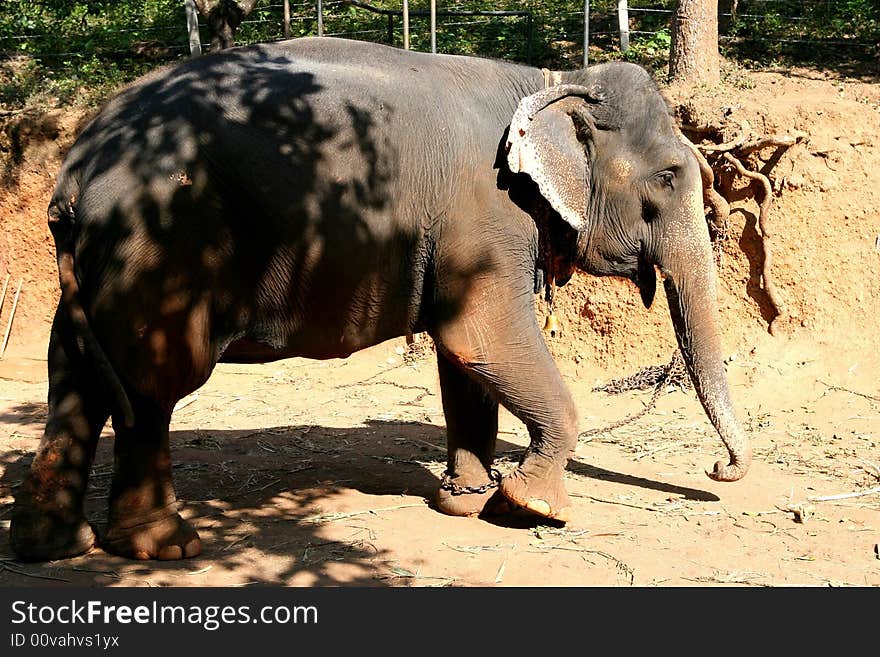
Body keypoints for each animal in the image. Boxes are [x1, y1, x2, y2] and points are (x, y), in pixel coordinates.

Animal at [8, 34, 748, 560]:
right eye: (669, 177)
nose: (721, 470)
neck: (548, 83)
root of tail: (75, 171)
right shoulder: (490, 210)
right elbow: (483, 338)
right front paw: (530, 507)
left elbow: (465, 360)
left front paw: (466, 500)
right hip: (162, 244)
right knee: (152, 386)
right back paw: (164, 546)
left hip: (106, 264)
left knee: (74, 374)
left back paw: (54, 546)